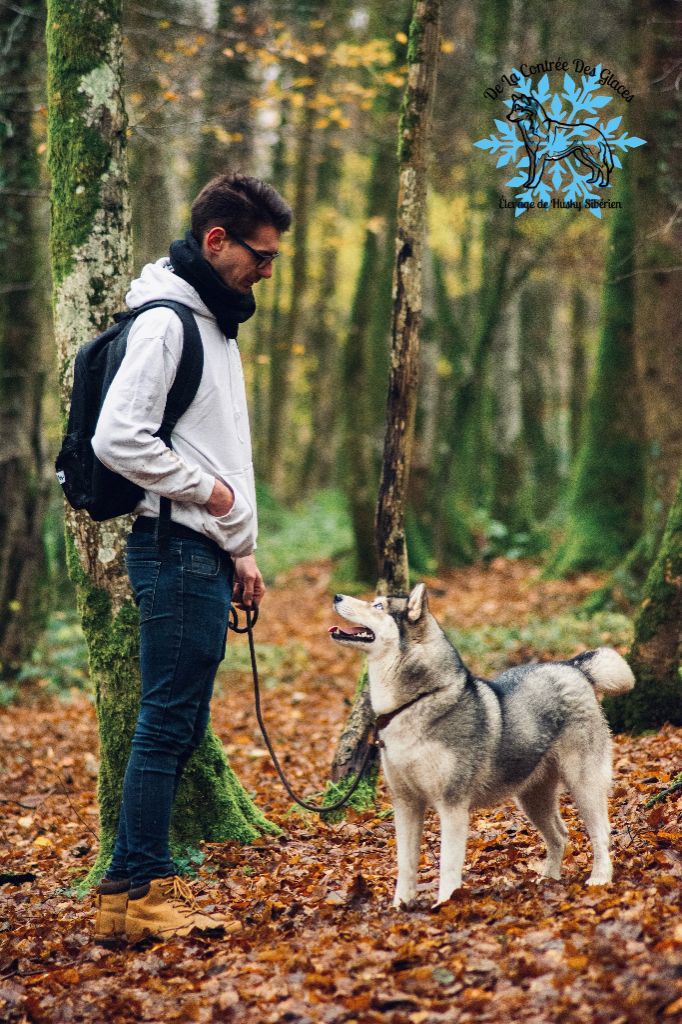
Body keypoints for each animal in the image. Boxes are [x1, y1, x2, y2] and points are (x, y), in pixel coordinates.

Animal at [327, 589, 630, 909]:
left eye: (377, 605)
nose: (336, 596)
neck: (415, 702)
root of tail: (572, 667)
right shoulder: (406, 804)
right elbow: (406, 864)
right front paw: (400, 906)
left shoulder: (452, 807)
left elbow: (448, 864)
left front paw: (444, 905)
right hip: (531, 798)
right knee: (560, 835)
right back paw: (548, 879)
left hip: (583, 785)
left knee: (601, 833)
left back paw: (600, 877)